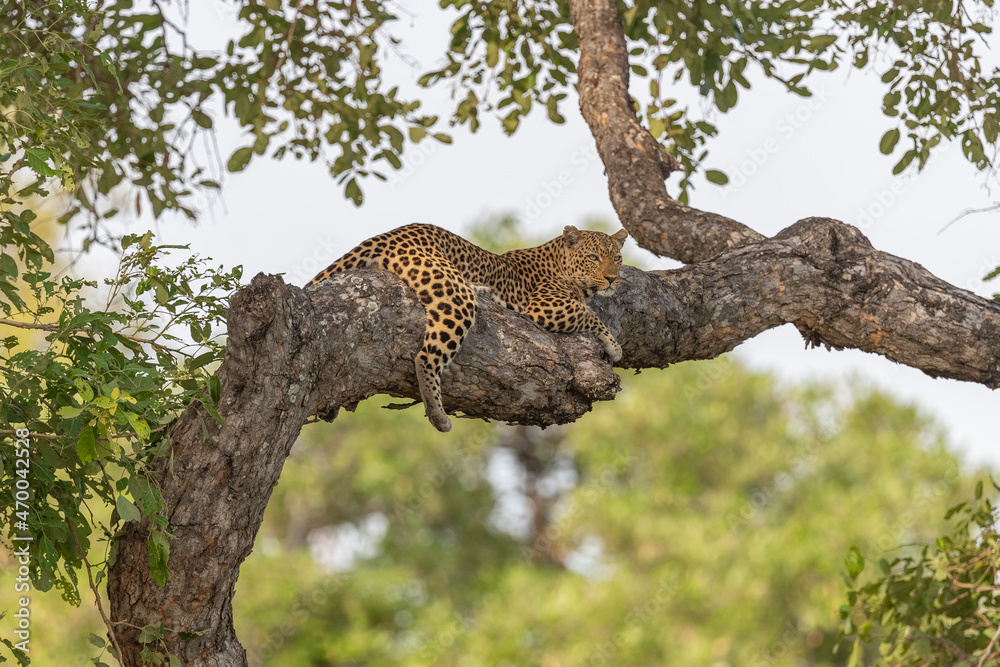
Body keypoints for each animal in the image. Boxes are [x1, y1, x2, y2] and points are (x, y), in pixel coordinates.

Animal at [307, 223, 628, 432]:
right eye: (593, 257)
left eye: (617, 257)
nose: (612, 278)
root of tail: (389, 234)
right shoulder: (543, 306)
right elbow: (589, 313)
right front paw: (614, 346)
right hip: (454, 295)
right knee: (425, 356)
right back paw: (438, 415)